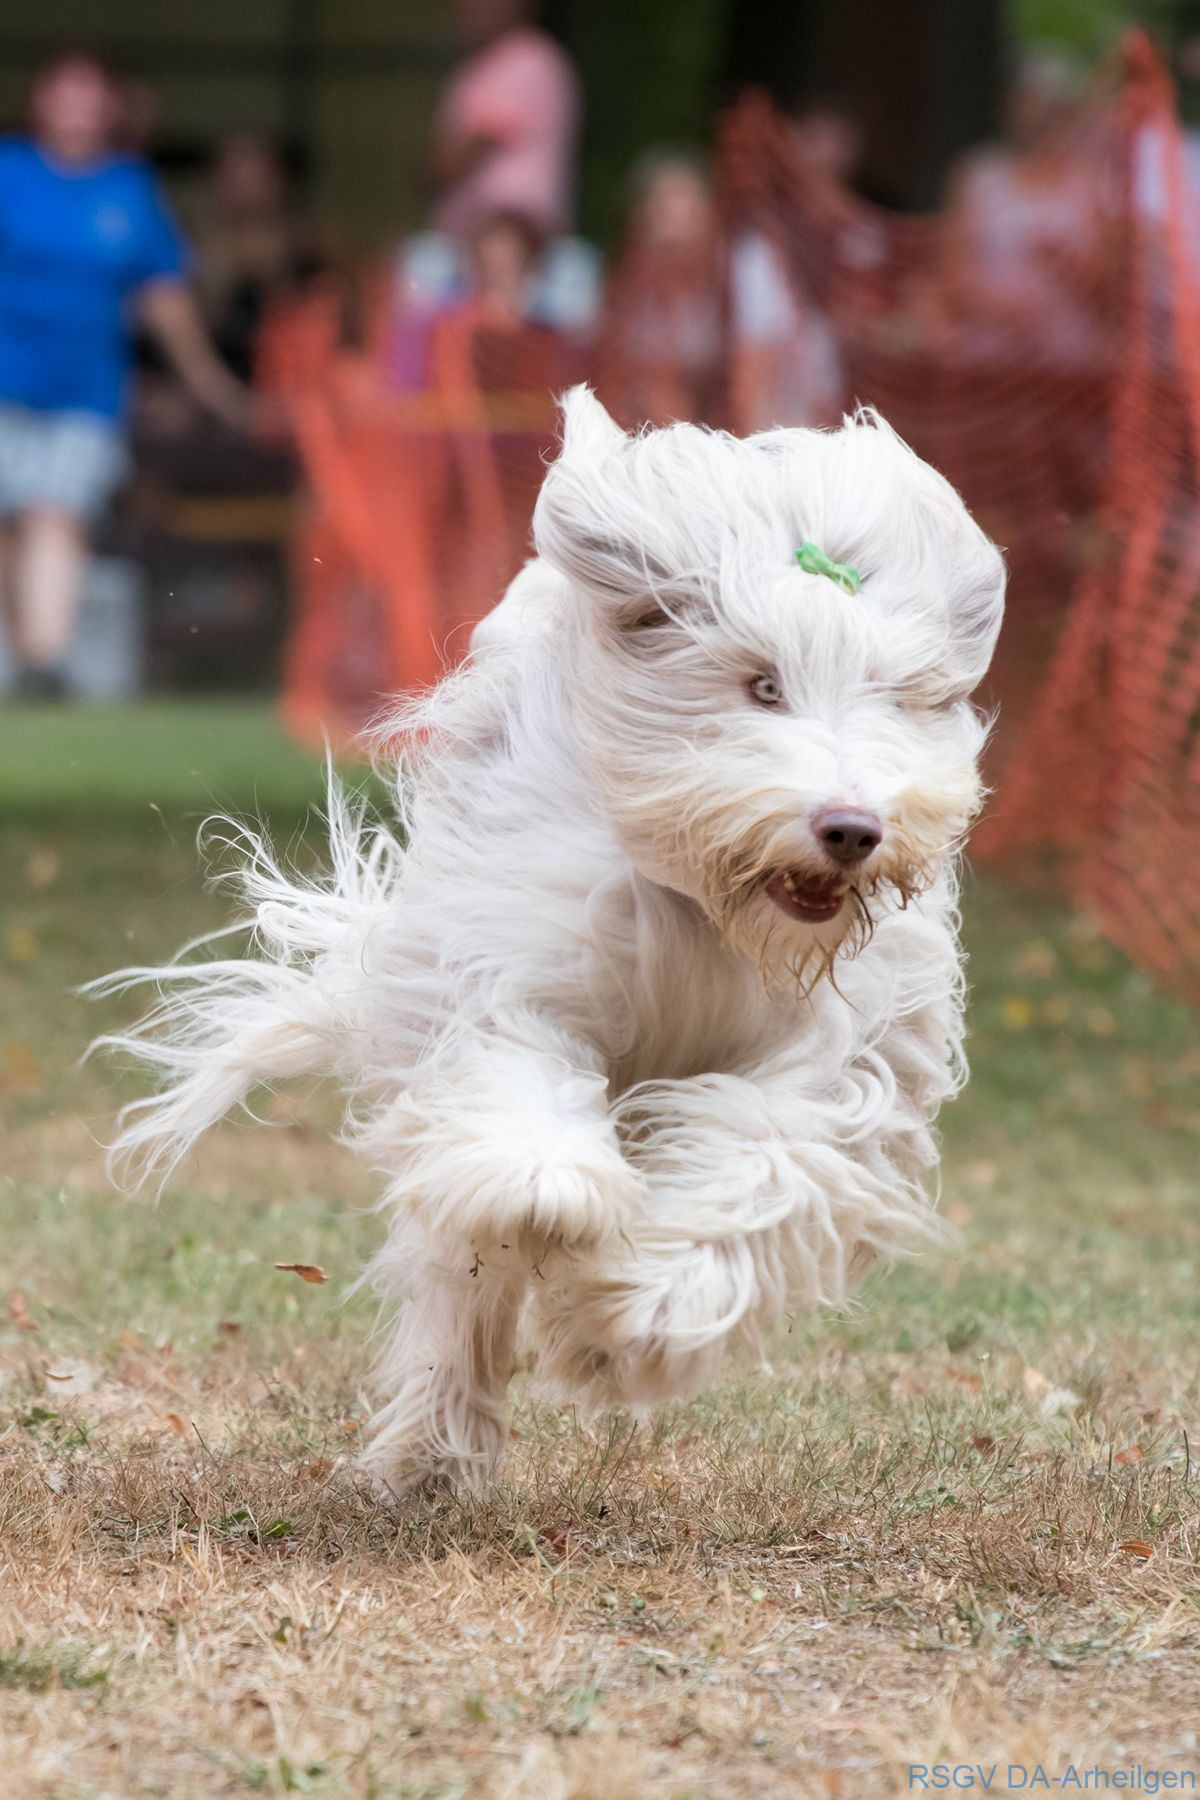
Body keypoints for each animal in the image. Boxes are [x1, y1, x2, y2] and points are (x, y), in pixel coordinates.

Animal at [93, 388, 1005, 1493]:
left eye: (895, 696)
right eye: (761, 685)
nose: (852, 828)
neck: (708, 908)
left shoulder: (838, 1050)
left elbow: (767, 1153)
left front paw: (638, 1316)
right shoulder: (517, 957)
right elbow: (520, 1086)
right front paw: (550, 1189)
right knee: (460, 1273)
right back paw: (431, 1452)